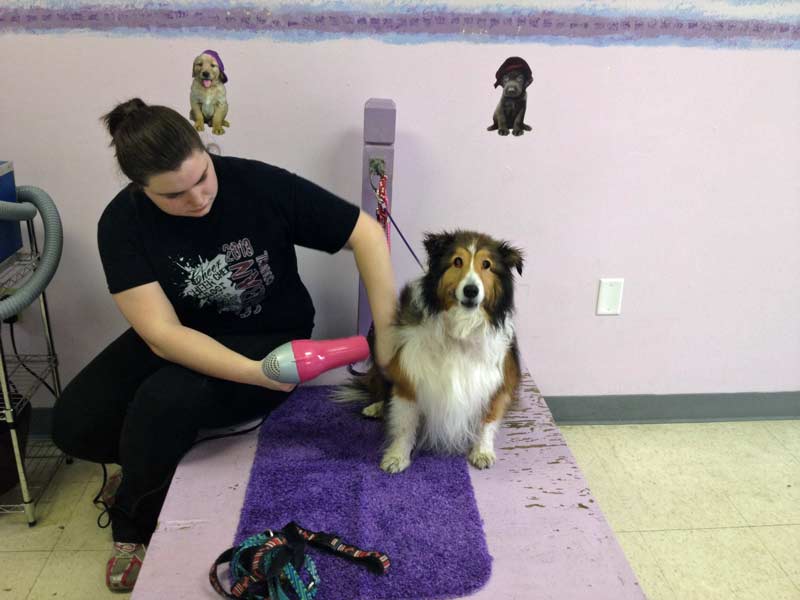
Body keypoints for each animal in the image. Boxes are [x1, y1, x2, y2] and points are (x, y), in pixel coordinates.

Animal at [337, 231, 524, 474]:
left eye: (487, 265)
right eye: (457, 261)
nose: (471, 290)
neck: (461, 330)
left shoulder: (497, 382)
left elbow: (487, 421)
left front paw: (482, 452)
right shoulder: (409, 377)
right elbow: (404, 425)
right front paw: (397, 457)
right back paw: (376, 407)